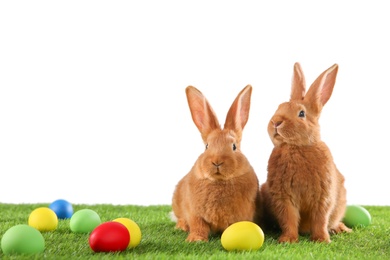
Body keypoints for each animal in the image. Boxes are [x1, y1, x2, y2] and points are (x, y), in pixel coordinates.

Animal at [171, 85, 260, 242]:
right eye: (207, 146)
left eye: (234, 146)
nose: (217, 161)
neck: (219, 181)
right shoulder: (195, 213)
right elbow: (198, 225)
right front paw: (196, 240)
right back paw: (181, 227)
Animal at [260, 62, 352, 243]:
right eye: (279, 107)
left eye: (301, 114)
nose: (276, 122)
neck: (296, 147)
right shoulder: (284, 197)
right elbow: (288, 219)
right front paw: (287, 240)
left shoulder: (323, 196)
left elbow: (320, 219)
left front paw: (321, 240)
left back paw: (341, 229)